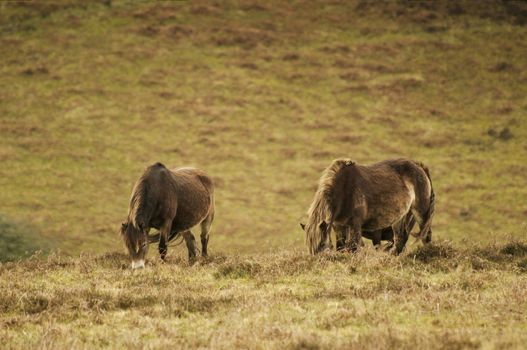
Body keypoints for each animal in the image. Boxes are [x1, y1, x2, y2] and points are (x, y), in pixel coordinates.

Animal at [304, 159, 436, 254]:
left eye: (322, 246)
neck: (344, 190)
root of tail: (419, 166)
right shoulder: (339, 226)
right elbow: (341, 248)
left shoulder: (355, 225)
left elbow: (354, 248)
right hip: (400, 218)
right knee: (399, 240)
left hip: (421, 212)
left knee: (426, 236)